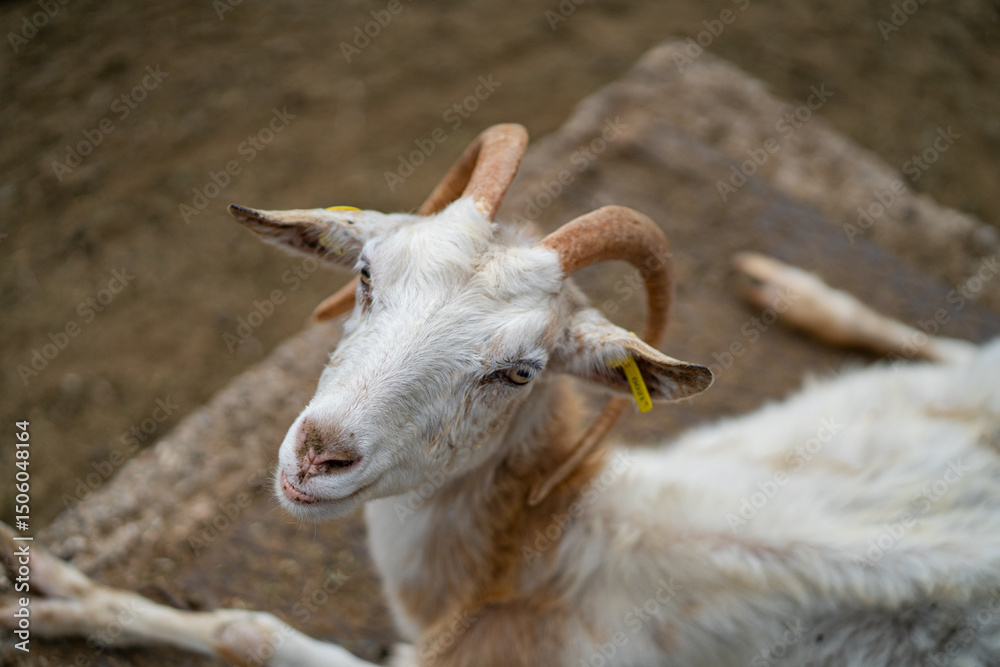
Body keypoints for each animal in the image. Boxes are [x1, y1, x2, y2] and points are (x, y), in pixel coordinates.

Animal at [4, 123, 1000, 666]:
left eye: (517, 371)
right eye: (364, 276)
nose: (319, 453)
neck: (540, 553)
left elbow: (251, 632)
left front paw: (50, 601)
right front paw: (47, 583)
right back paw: (795, 287)